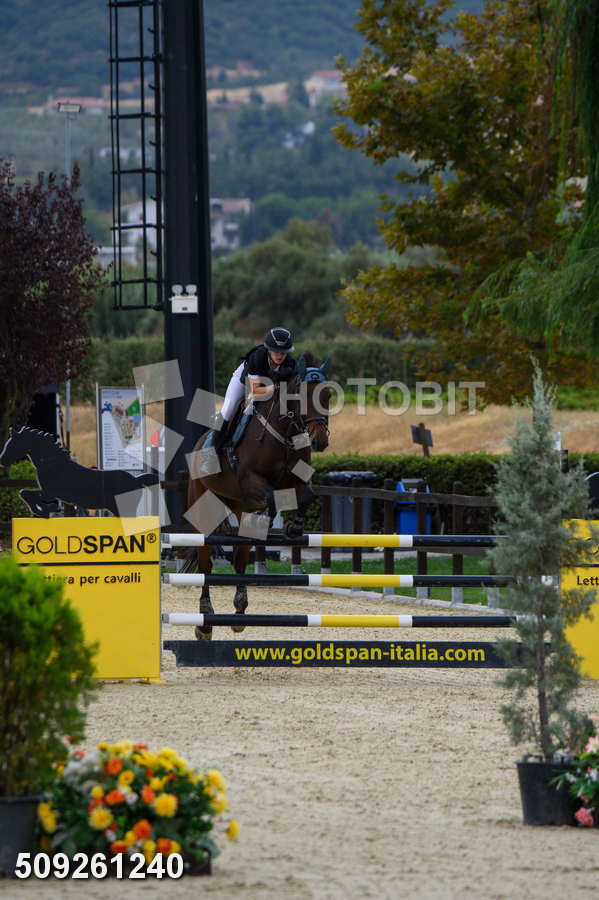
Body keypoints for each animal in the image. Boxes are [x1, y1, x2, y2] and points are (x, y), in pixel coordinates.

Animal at [0, 426, 158, 516]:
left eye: (13, 444)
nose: (2, 460)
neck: (52, 463)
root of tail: (136, 480)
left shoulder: (50, 492)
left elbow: (25, 493)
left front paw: (44, 509)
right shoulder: (50, 493)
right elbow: (24, 493)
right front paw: (46, 509)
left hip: (123, 508)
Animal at [186, 352, 331, 639]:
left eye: (327, 395)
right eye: (301, 395)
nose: (320, 441)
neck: (285, 434)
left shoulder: (298, 480)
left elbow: (305, 496)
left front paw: (294, 527)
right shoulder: (251, 480)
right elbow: (271, 497)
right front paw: (274, 518)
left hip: (238, 509)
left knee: (240, 561)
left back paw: (240, 612)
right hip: (203, 511)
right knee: (206, 565)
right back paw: (205, 623)